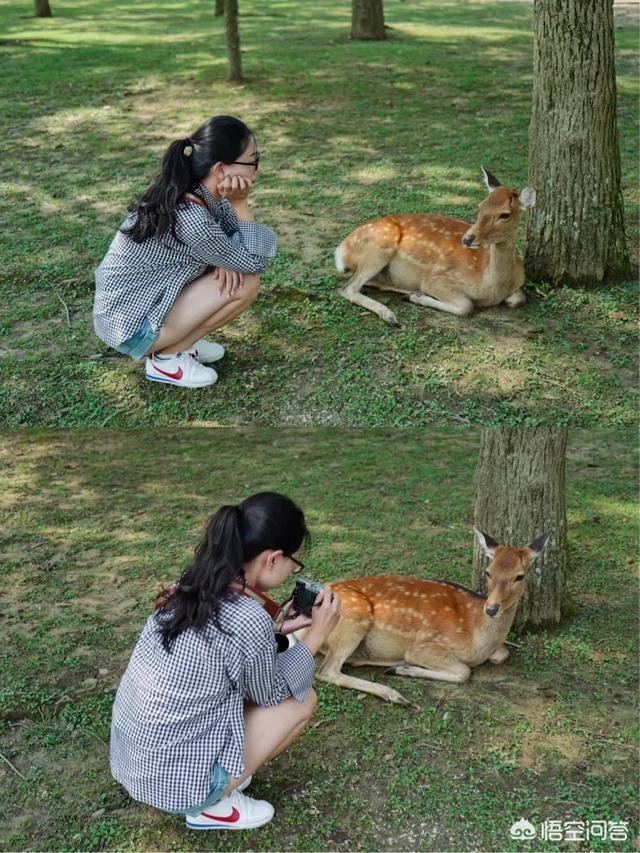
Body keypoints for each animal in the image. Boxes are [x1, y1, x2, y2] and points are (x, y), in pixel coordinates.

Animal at [304, 532, 552, 704]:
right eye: (488, 572)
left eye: (520, 576)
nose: (491, 608)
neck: (477, 635)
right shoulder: (422, 647)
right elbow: (464, 671)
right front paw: (403, 668)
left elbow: (502, 653)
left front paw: (400, 668)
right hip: (354, 617)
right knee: (327, 670)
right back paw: (394, 693)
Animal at [336, 167, 536, 326]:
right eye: (481, 206)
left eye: (504, 214)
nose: (467, 239)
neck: (493, 287)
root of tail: (341, 249)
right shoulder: (437, 278)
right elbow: (466, 305)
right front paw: (419, 297)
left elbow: (519, 298)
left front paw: (415, 296)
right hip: (379, 246)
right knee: (347, 287)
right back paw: (390, 314)